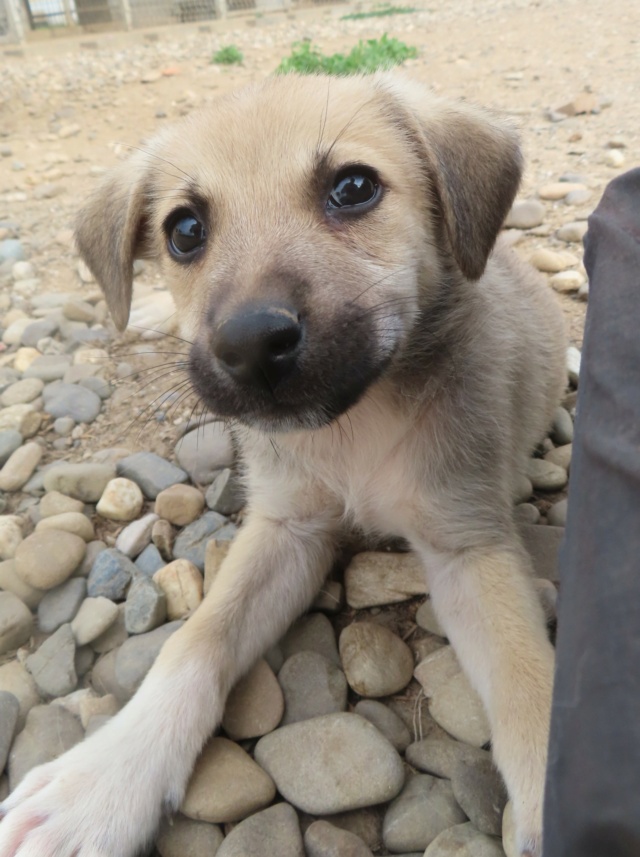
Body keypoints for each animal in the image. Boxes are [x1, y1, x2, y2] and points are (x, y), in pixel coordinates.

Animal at [0, 75, 564, 856]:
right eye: (183, 231)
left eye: (354, 187)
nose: (247, 345)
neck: (352, 428)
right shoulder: (286, 529)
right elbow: (197, 639)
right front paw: (103, 781)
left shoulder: (467, 545)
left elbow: (526, 681)